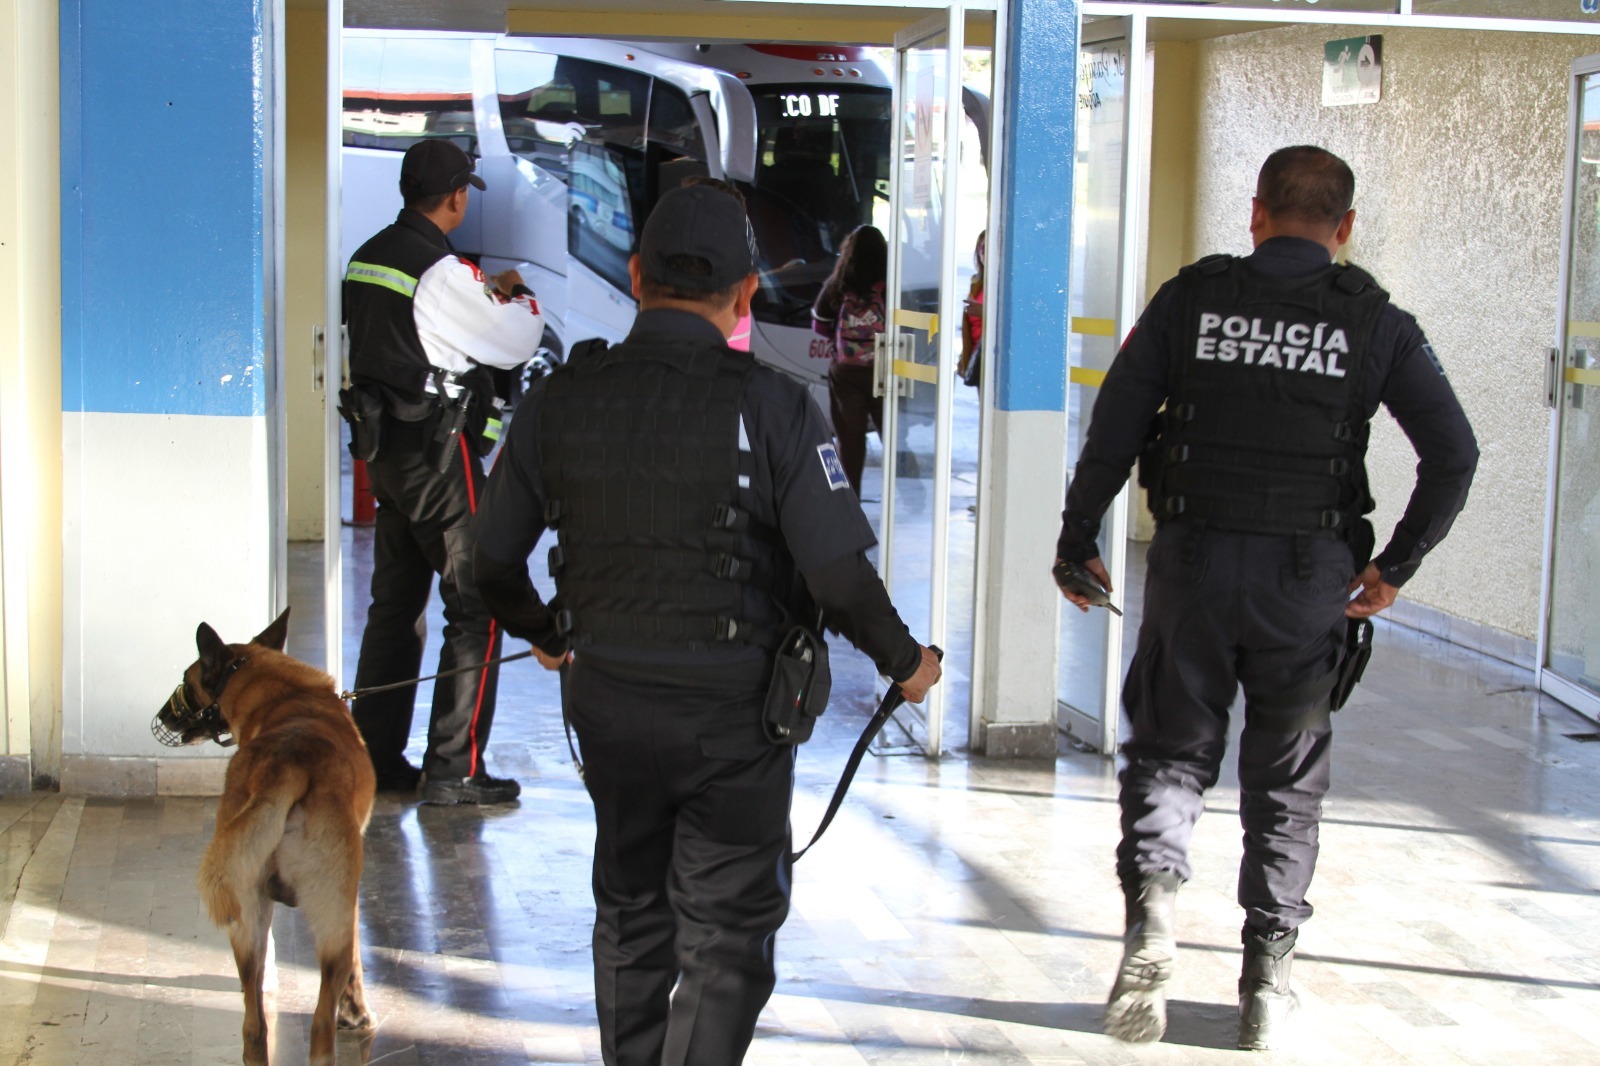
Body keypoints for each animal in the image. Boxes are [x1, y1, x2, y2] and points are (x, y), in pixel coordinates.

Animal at [154, 607, 376, 1066]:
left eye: (186, 679)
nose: (164, 715)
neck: (282, 694)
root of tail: (287, 766)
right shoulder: (351, 903)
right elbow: (358, 967)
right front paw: (357, 1014)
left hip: (247, 920)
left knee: (254, 1026)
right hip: (334, 921)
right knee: (320, 1024)